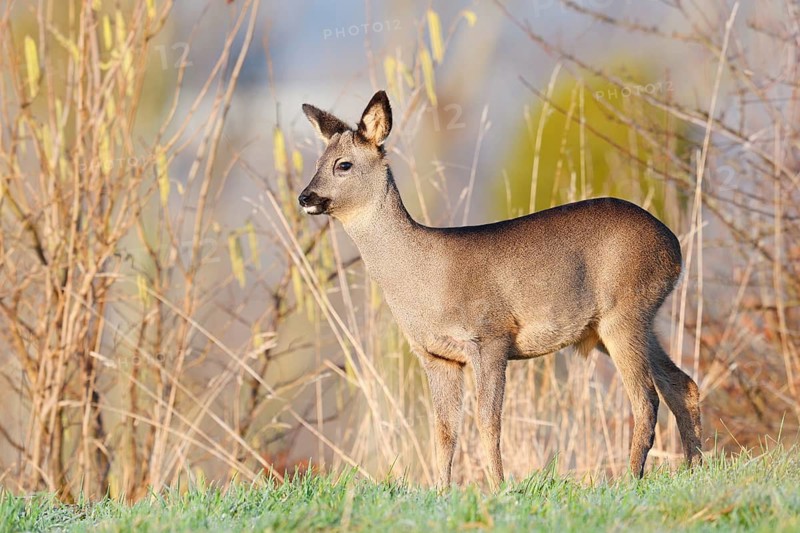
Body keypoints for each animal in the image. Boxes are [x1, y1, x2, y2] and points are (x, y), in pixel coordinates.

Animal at [298, 90, 702, 489]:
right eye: (318, 162)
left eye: (343, 165)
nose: (305, 197)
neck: (423, 276)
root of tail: (674, 246)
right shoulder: (436, 355)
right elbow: (444, 429)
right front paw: (441, 492)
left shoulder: (489, 336)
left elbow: (487, 420)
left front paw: (498, 487)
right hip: (622, 323)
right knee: (682, 384)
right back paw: (694, 466)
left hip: (624, 310)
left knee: (646, 398)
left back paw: (631, 478)